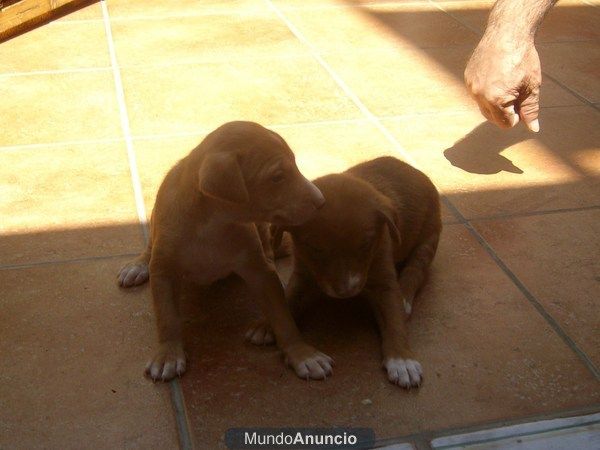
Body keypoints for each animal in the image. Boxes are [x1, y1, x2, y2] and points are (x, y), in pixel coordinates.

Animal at [117, 121, 332, 382]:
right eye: (277, 177)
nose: (321, 202)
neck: (212, 224)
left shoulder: (258, 270)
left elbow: (282, 317)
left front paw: (302, 354)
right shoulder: (164, 272)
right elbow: (167, 317)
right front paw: (168, 355)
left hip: (262, 231)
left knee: (269, 252)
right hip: (155, 220)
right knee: (150, 248)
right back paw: (137, 265)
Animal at [255, 156, 438, 388]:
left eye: (366, 244)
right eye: (314, 248)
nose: (346, 291)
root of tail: (413, 170)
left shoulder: (384, 280)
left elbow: (394, 321)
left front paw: (402, 360)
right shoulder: (303, 276)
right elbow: (286, 301)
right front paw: (266, 324)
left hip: (429, 238)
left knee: (416, 270)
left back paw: (405, 297)